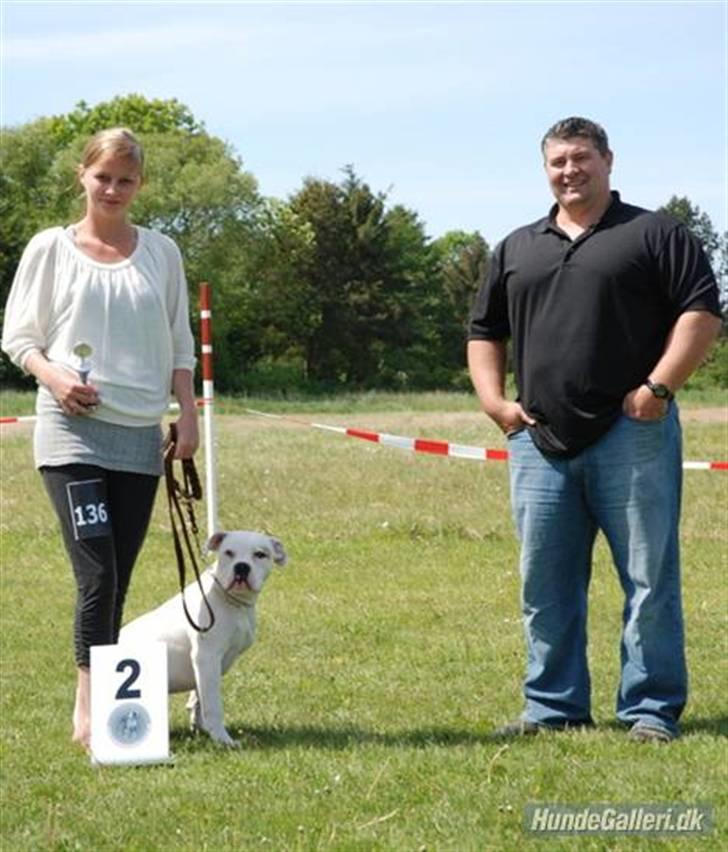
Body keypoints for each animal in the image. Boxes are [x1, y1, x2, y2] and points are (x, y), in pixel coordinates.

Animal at [120, 528, 288, 748]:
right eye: (228, 553)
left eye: (261, 554)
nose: (241, 567)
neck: (231, 601)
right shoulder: (207, 658)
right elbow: (213, 704)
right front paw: (223, 740)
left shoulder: (208, 665)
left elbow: (199, 698)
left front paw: (202, 729)